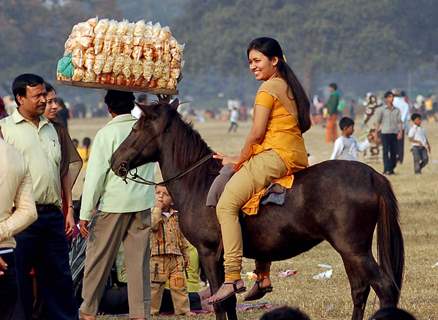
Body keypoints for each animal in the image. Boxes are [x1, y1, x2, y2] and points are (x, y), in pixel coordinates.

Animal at [111, 100, 406, 320]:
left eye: (136, 127)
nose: (115, 161)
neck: (198, 182)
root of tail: (372, 175)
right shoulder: (222, 259)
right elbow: (230, 302)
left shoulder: (209, 253)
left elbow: (220, 302)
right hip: (350, 250)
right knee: (360, 290)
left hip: (353, 248)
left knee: (384, 288)